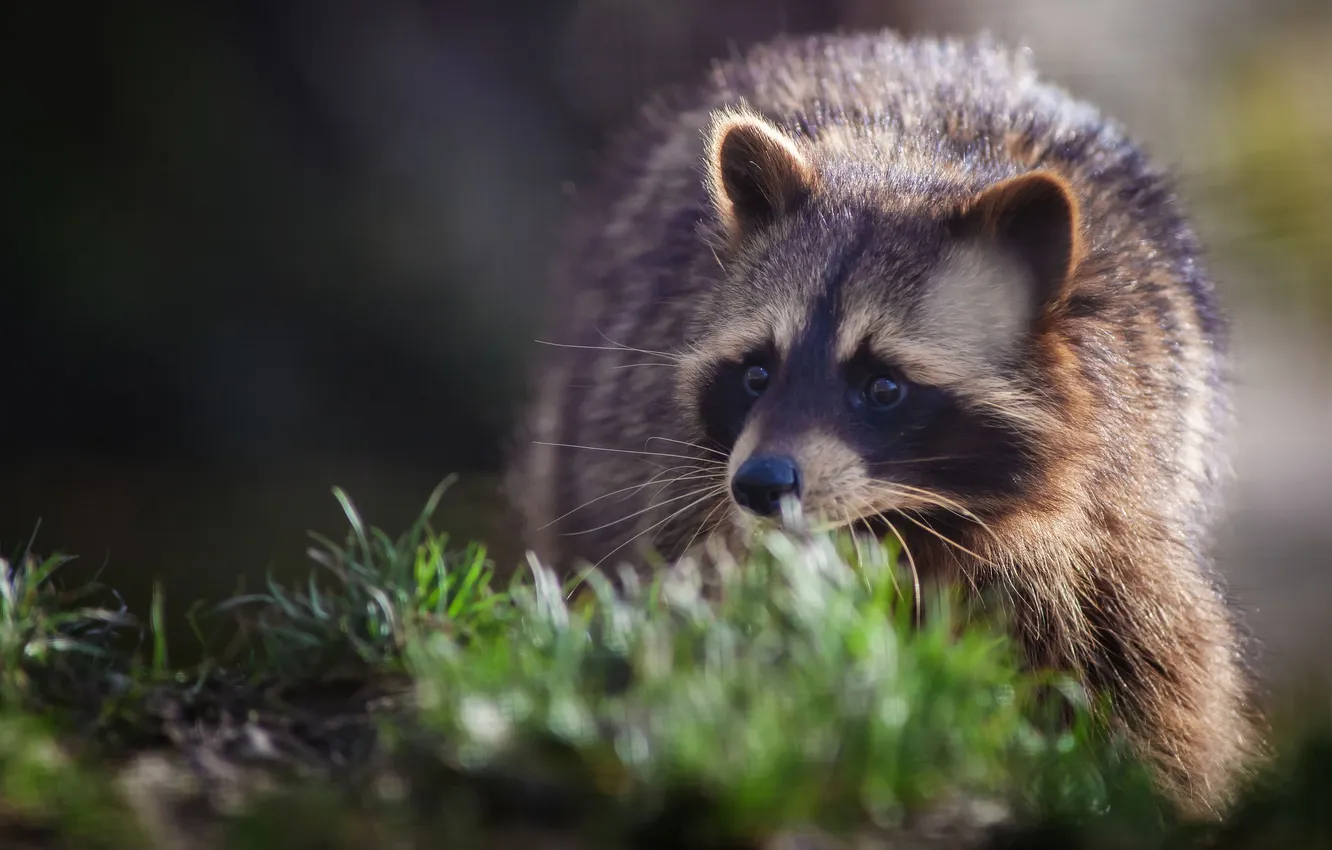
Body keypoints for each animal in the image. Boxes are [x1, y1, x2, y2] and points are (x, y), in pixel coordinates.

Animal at [505, 30, 1260, 813]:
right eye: (757, 374)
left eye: (884, 387)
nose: (760, 485)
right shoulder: (690, 506)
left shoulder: (1110, 530)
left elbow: (1147, 682)